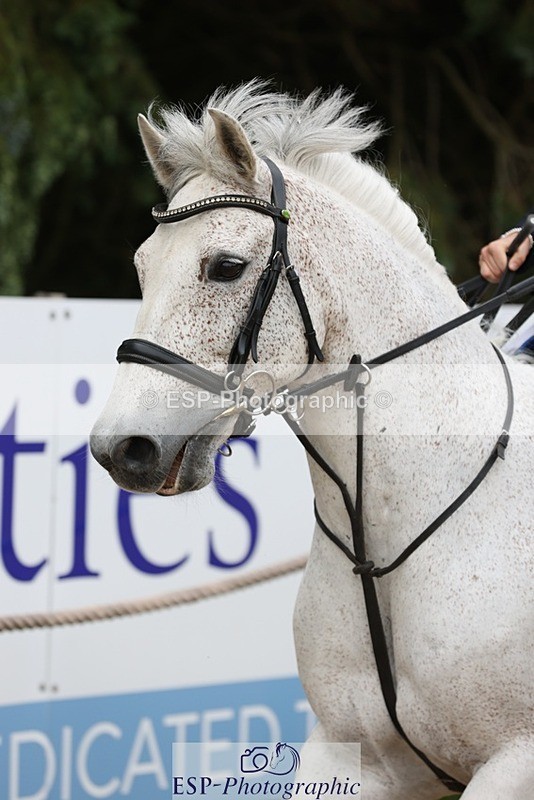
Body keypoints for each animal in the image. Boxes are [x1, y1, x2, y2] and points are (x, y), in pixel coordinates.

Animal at [90, 80, 534, 799]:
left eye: (226, 267)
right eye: (141, 267)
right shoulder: (349, 751)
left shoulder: (515, 757)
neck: (378, 543)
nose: (121, 448)